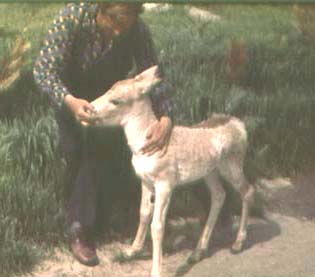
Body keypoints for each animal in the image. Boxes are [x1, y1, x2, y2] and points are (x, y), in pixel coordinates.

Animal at [90, 66, 256, 274]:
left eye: (116, 100)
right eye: (109, 88)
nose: (89, 108)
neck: (145, 144)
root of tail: (241, 125)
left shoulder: (165, 183)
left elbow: (157, 225)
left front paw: (155, 271)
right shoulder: (145, 180)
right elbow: (143, 213)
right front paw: (130, 252)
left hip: (231, 164)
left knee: (247, 190)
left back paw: (237, 244)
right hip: (210, 171)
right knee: (219, 195)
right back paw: (197, 252)